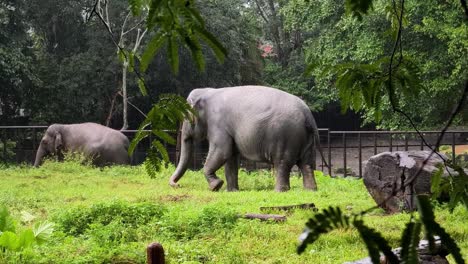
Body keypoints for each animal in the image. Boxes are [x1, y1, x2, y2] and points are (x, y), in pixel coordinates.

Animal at [169, 85, 326, 191]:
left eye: (185, 116)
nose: (177, 184)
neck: (208, 91)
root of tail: (308, 113)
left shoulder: (218, 123)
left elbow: (222, 151)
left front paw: (216, 186)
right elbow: (230, 157)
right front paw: (231, 191)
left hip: (286, 136)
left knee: (282, 163)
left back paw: (279, 191)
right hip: (306, 138)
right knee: (306, 163)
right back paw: (310, 190)